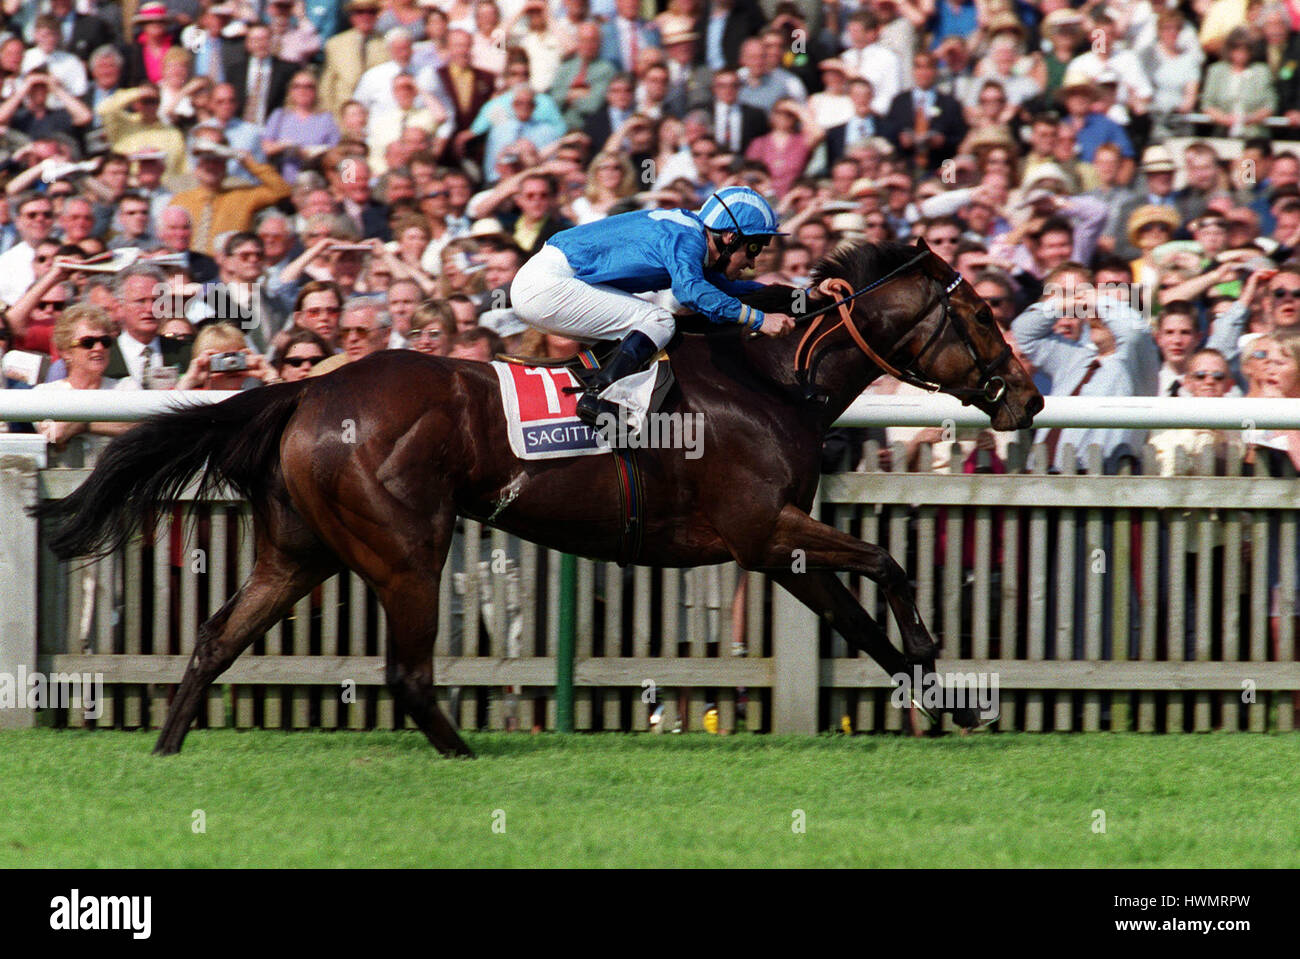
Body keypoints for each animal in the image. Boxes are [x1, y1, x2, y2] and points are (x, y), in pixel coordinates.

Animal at [32, 239, 1045, 753]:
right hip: (408, 547)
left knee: (215, 638)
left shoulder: (779, 545)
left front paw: (947, 702)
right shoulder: (761, 529)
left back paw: (167, 752)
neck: (772, 384)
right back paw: (466, 755)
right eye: (980, 313)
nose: (1030, 398)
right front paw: (943, 673)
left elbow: (859, 616)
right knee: (406, 672)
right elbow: (888, 562)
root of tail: (308, 390)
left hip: (299, 550)